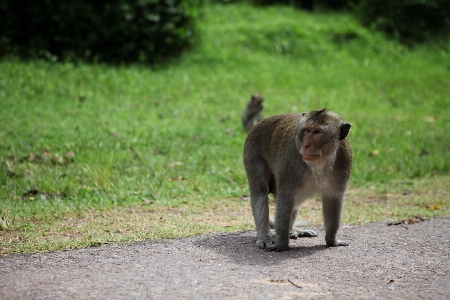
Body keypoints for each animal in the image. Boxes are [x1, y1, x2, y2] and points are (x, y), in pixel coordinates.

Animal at [243, 109, 352, 252]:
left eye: (317, 132)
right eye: (308, 130)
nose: (306, 145)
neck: (320, 162)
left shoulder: (344, 162)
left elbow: (333, 199)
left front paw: (332, 240)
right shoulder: (291, 163)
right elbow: (285, 197)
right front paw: (282, 243)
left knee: (296, 201)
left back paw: (292, 230)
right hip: (252, 152)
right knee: (261, 191)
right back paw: (265, 237)